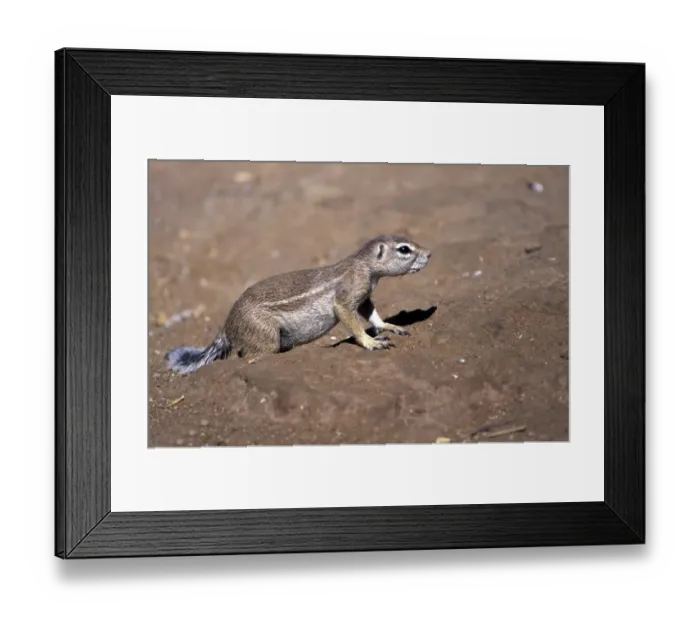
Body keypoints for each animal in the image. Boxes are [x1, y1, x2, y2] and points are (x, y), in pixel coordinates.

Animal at [165, 235, 431, 375]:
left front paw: (388, 327)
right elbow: (351, 321)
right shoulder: (346, 298)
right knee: (248, 355)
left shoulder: (364, 296)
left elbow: (372, 313)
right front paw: (370, 342)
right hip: (266, 336)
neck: (365, 266)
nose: (430, 254)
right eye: (404, 249)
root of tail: (228, 324)